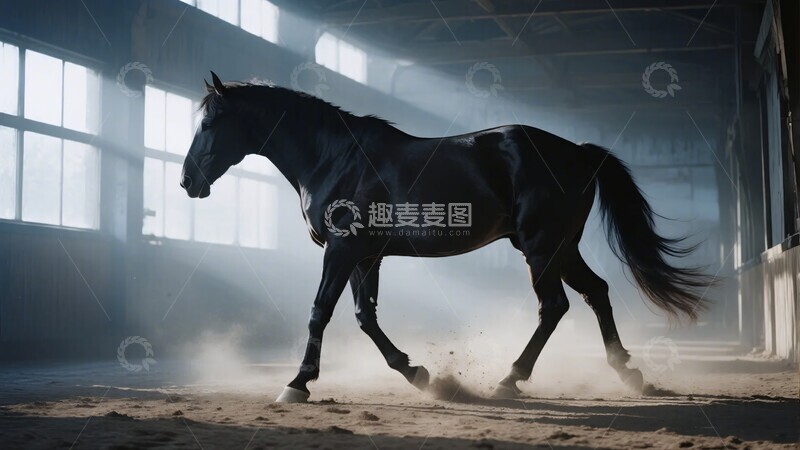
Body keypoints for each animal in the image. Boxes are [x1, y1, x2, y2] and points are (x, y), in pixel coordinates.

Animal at [181, 72, 710, 403]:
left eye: (209, 123)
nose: (188, 182)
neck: (335, 157)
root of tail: (579, 151)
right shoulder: (365, 256)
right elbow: (365, 317)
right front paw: (418, 374)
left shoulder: (342, 250)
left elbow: (320, 312)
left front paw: (297, 384)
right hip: (559, 247)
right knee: (595, 292)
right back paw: (630, 374)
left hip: (541, 247)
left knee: (555, 306)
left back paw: (510, 379)